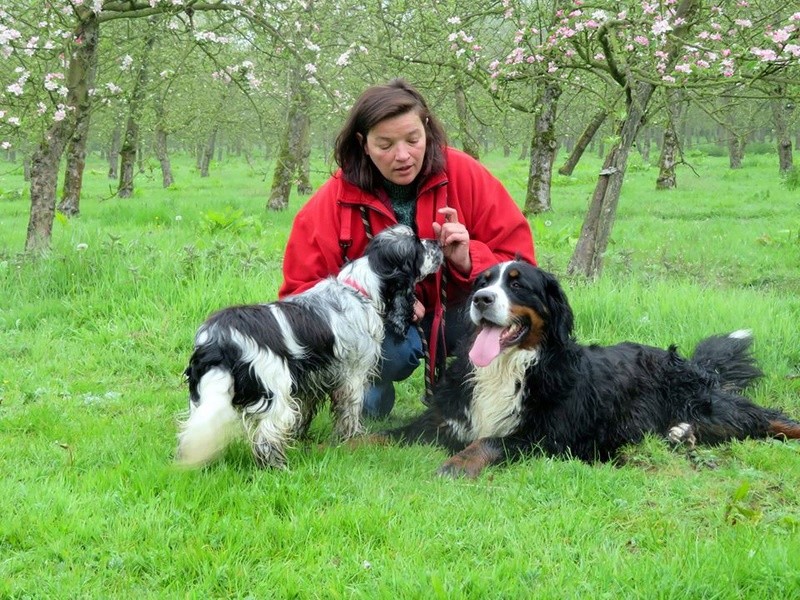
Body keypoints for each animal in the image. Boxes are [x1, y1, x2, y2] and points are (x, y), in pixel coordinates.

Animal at [388, 258, 800, 478]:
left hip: (711, 406)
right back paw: (680, 434)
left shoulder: (546, 436)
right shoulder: (446, 419)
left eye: (518, 286)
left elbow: (489, 441)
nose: (481, 299)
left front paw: (456, 464)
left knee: (767, 417)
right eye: (483, 282)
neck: (507, 369)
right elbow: (389, 434)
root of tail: (690, 363)